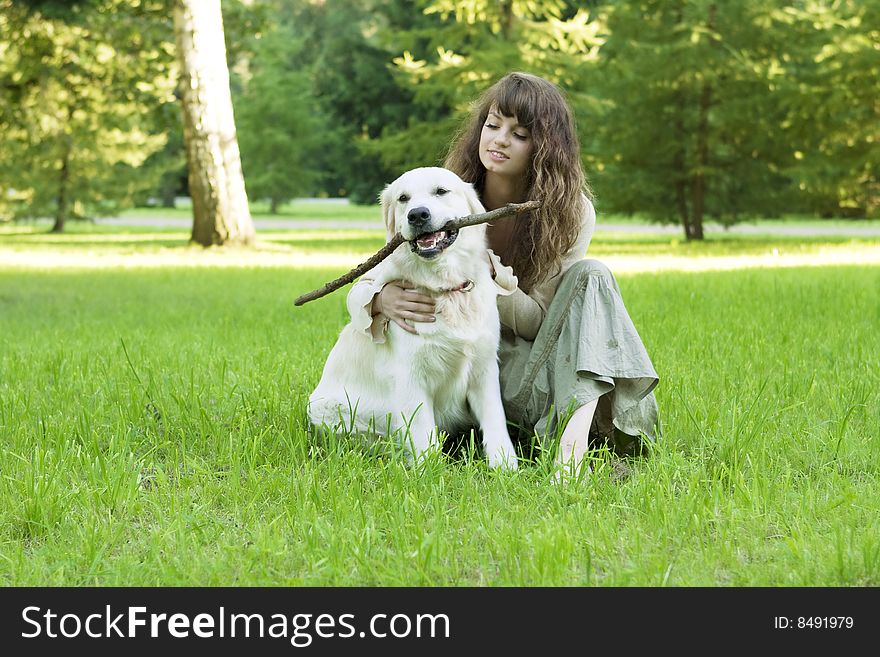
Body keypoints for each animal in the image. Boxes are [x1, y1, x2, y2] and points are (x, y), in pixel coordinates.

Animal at [308, 167, 516, 468]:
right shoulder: (411, 376)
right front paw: (429, 471)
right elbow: (423, 434)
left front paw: (505, 467)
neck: (443, 288)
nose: (417, 215)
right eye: (403, 198)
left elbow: (495, 421)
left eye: (441, 191)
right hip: (330, 410)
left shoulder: (484, 368)